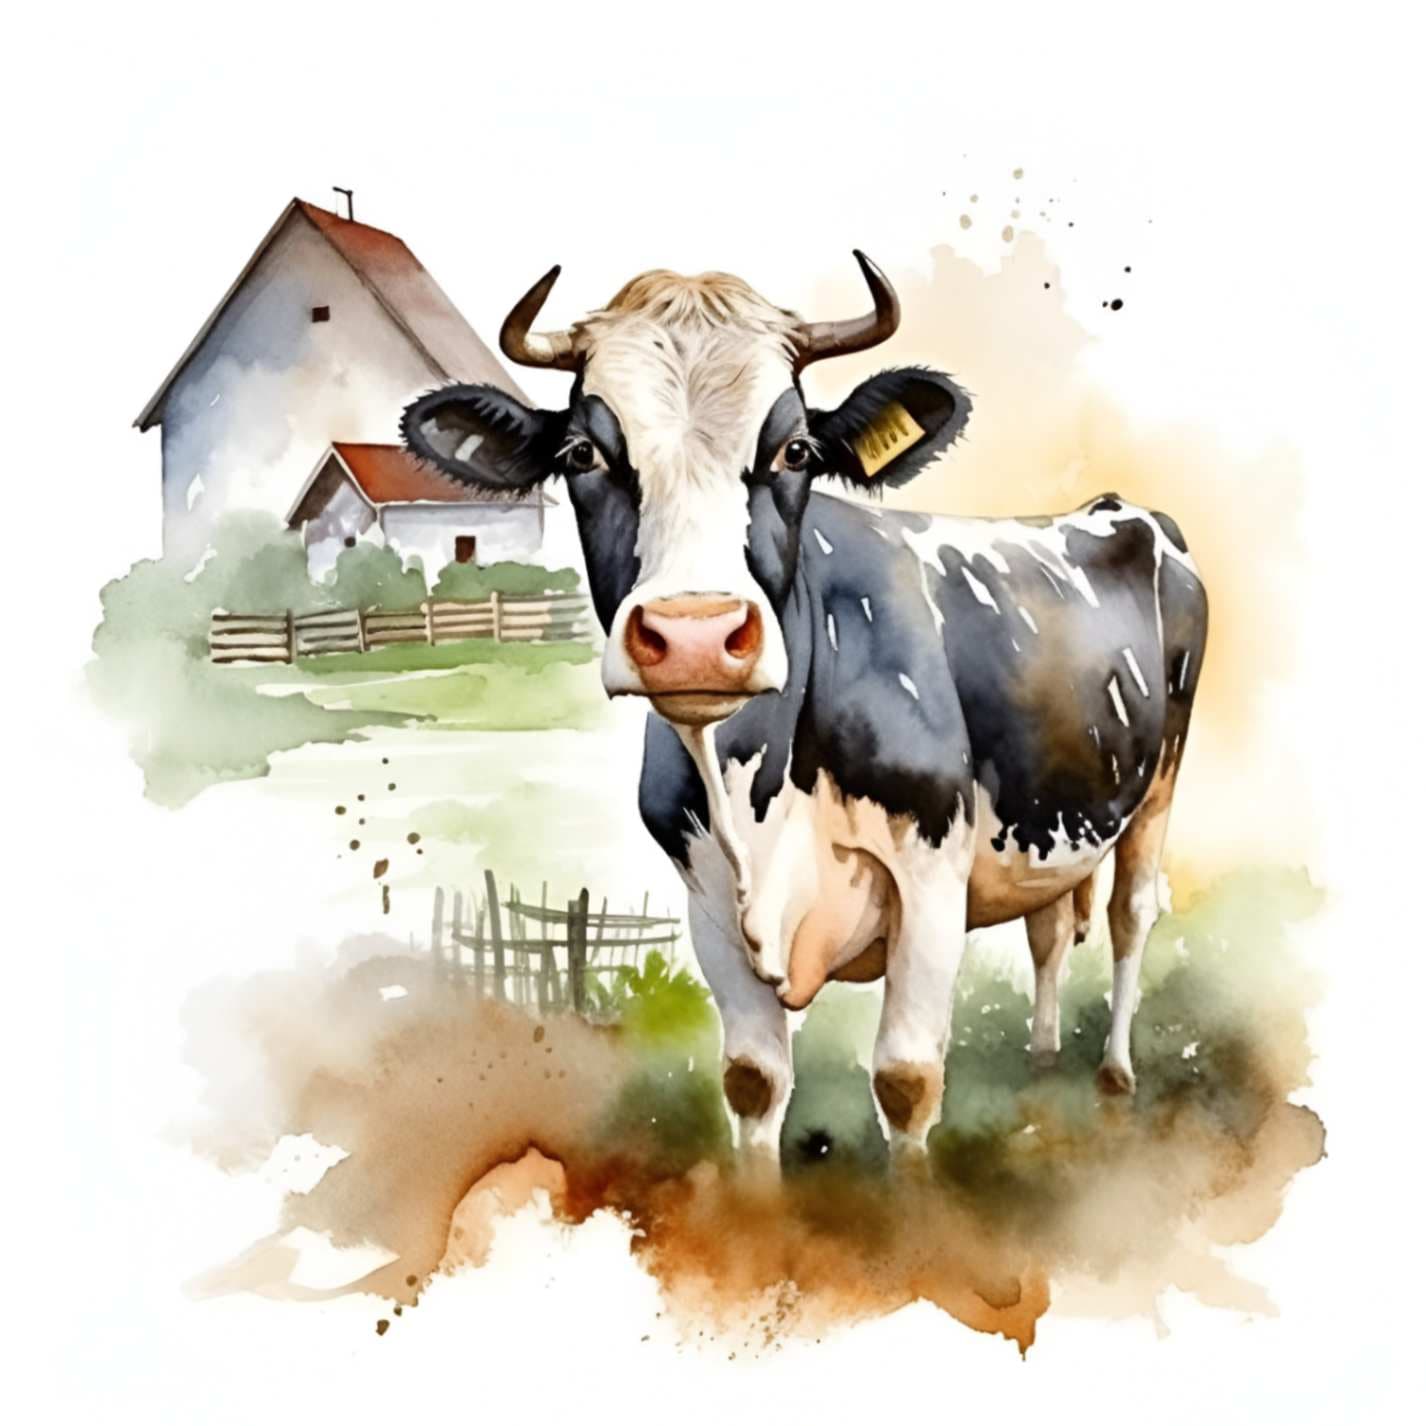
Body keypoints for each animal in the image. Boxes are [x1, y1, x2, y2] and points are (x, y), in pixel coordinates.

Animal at [402, 255, 1208, 1173]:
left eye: (794, 450)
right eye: (582, 451)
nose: (695, 635)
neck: (764, 803)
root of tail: (1116, 508)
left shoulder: (931, 879)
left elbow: (907, 1082)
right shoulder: (706, 897)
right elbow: (753, 1083)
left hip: (1160, 781)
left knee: (1128, 915)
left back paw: (1114, 1074)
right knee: (1047, 927)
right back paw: (1041, 1062)